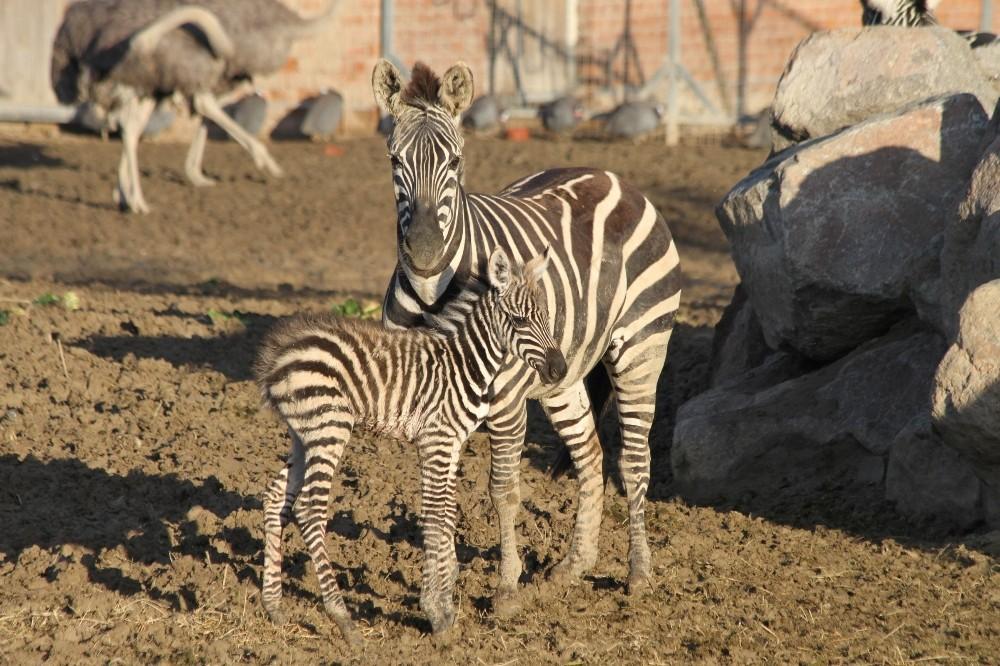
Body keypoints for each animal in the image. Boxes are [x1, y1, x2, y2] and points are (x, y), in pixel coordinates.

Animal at [255, 247, 566, 643]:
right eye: (519, 320)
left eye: (546, 317)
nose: (560, 369)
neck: (465, 363)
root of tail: (279, 355)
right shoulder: (437, 440)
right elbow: (434, 513)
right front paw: (436, 611)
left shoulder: (452, 443)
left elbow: (448, 512)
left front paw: (446, 597)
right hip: (329, 428)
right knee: (309, 509)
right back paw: (343, 619)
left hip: (303, 436)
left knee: (276, 496)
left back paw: (274, 606)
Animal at [372, 60, 682, 616]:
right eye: (393, 160)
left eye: (455, 160)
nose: (425, 252)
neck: (433, 297)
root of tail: (613, 177)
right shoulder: (423, 404)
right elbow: (435, 494)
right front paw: (440, 586)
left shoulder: (506, 400)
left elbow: (503, 490)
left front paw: (506, 587)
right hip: (563, 374)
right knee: (591, 456)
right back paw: (574, 566)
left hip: (641, 350)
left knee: (633, 461)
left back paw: (638, 573)